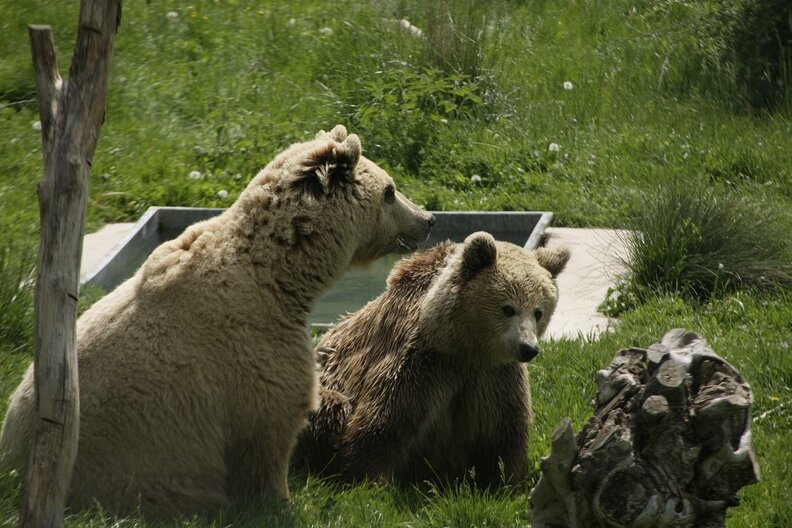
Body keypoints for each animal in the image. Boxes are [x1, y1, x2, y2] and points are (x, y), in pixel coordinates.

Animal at [0, 125, 434, 516]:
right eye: (390, 190)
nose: (428, 218)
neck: (280, 276)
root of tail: (15, 468)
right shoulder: (251, 355)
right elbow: (268, 437)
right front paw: (280, 501)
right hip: (123, 469)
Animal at [292, 231, 570, 488]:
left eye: (539, 311)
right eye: (508, 308)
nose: (528, 348)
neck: (463, 347)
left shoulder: (495, 376)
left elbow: (506, 431)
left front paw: (507, 482)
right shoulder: (421, 362)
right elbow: (384, 423)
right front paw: (370, 481)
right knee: (328, 406)